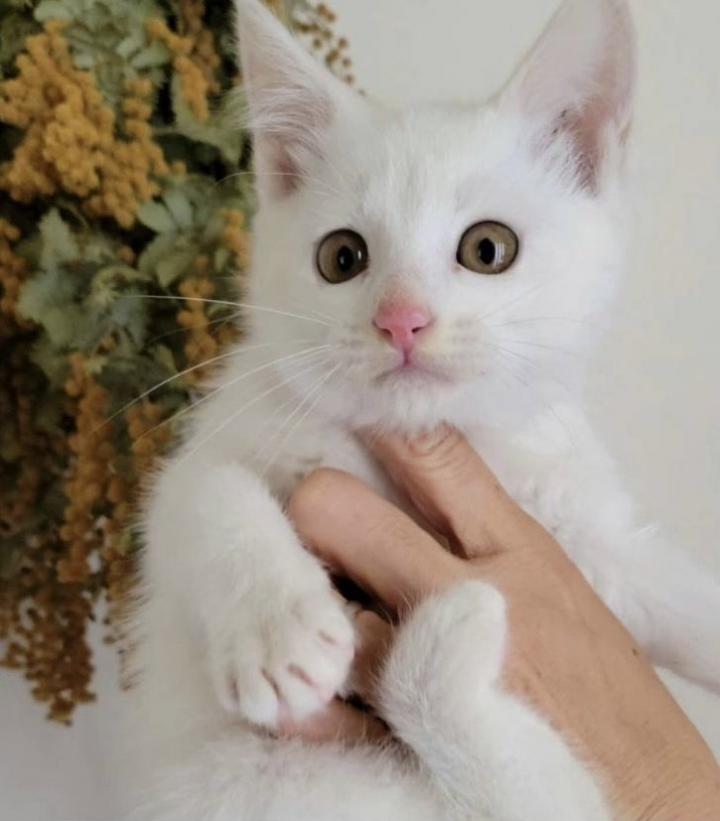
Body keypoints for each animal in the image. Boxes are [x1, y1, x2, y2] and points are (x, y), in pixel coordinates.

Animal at [125, 0, 720, 818]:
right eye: (341, 257)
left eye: (488, 248)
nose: (400, 319)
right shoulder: (236, 422)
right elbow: (199, 490)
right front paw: (278, 629)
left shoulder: (579, 533)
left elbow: (665, 583)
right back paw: (449, 641)